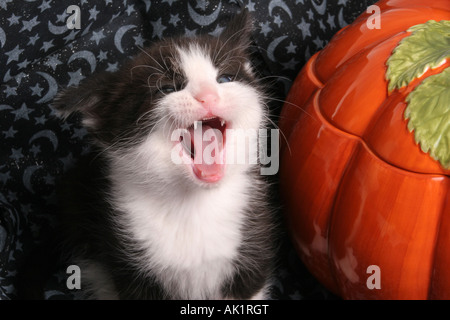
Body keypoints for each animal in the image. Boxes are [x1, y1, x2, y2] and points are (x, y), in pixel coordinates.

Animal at [52, 10, 278, 300]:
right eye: (167, 88)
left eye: (225, 79)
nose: (208, 96)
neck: (192, 202)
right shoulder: (130, 262)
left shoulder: (254, 240)